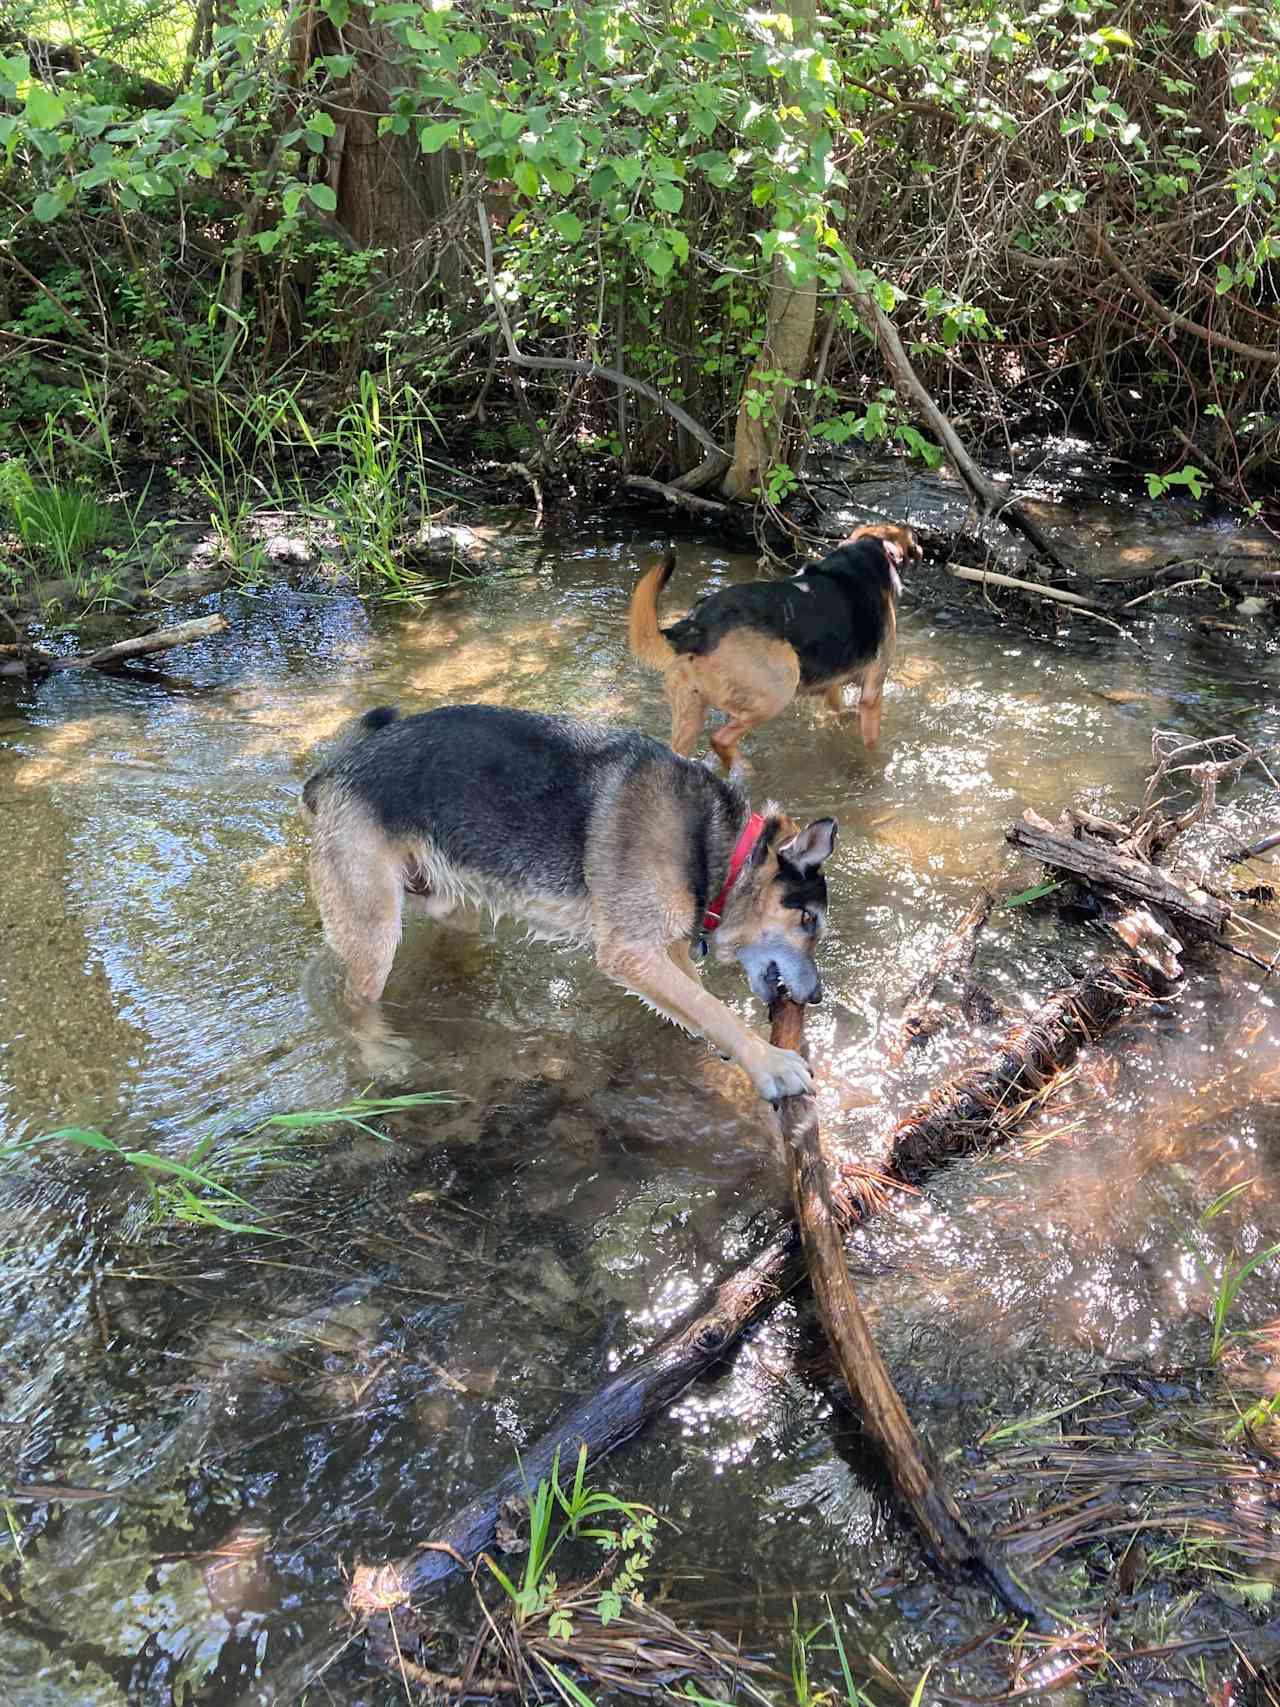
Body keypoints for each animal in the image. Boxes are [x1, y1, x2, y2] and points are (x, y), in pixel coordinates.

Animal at [631, 522, 921, 771]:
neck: (866, 553)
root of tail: (698, 625)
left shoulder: (832, 685)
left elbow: (834, 711)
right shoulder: (873, 692)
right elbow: (871, 743)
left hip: (690, 711)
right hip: (780, 687)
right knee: (720, 739)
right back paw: (745, 769)